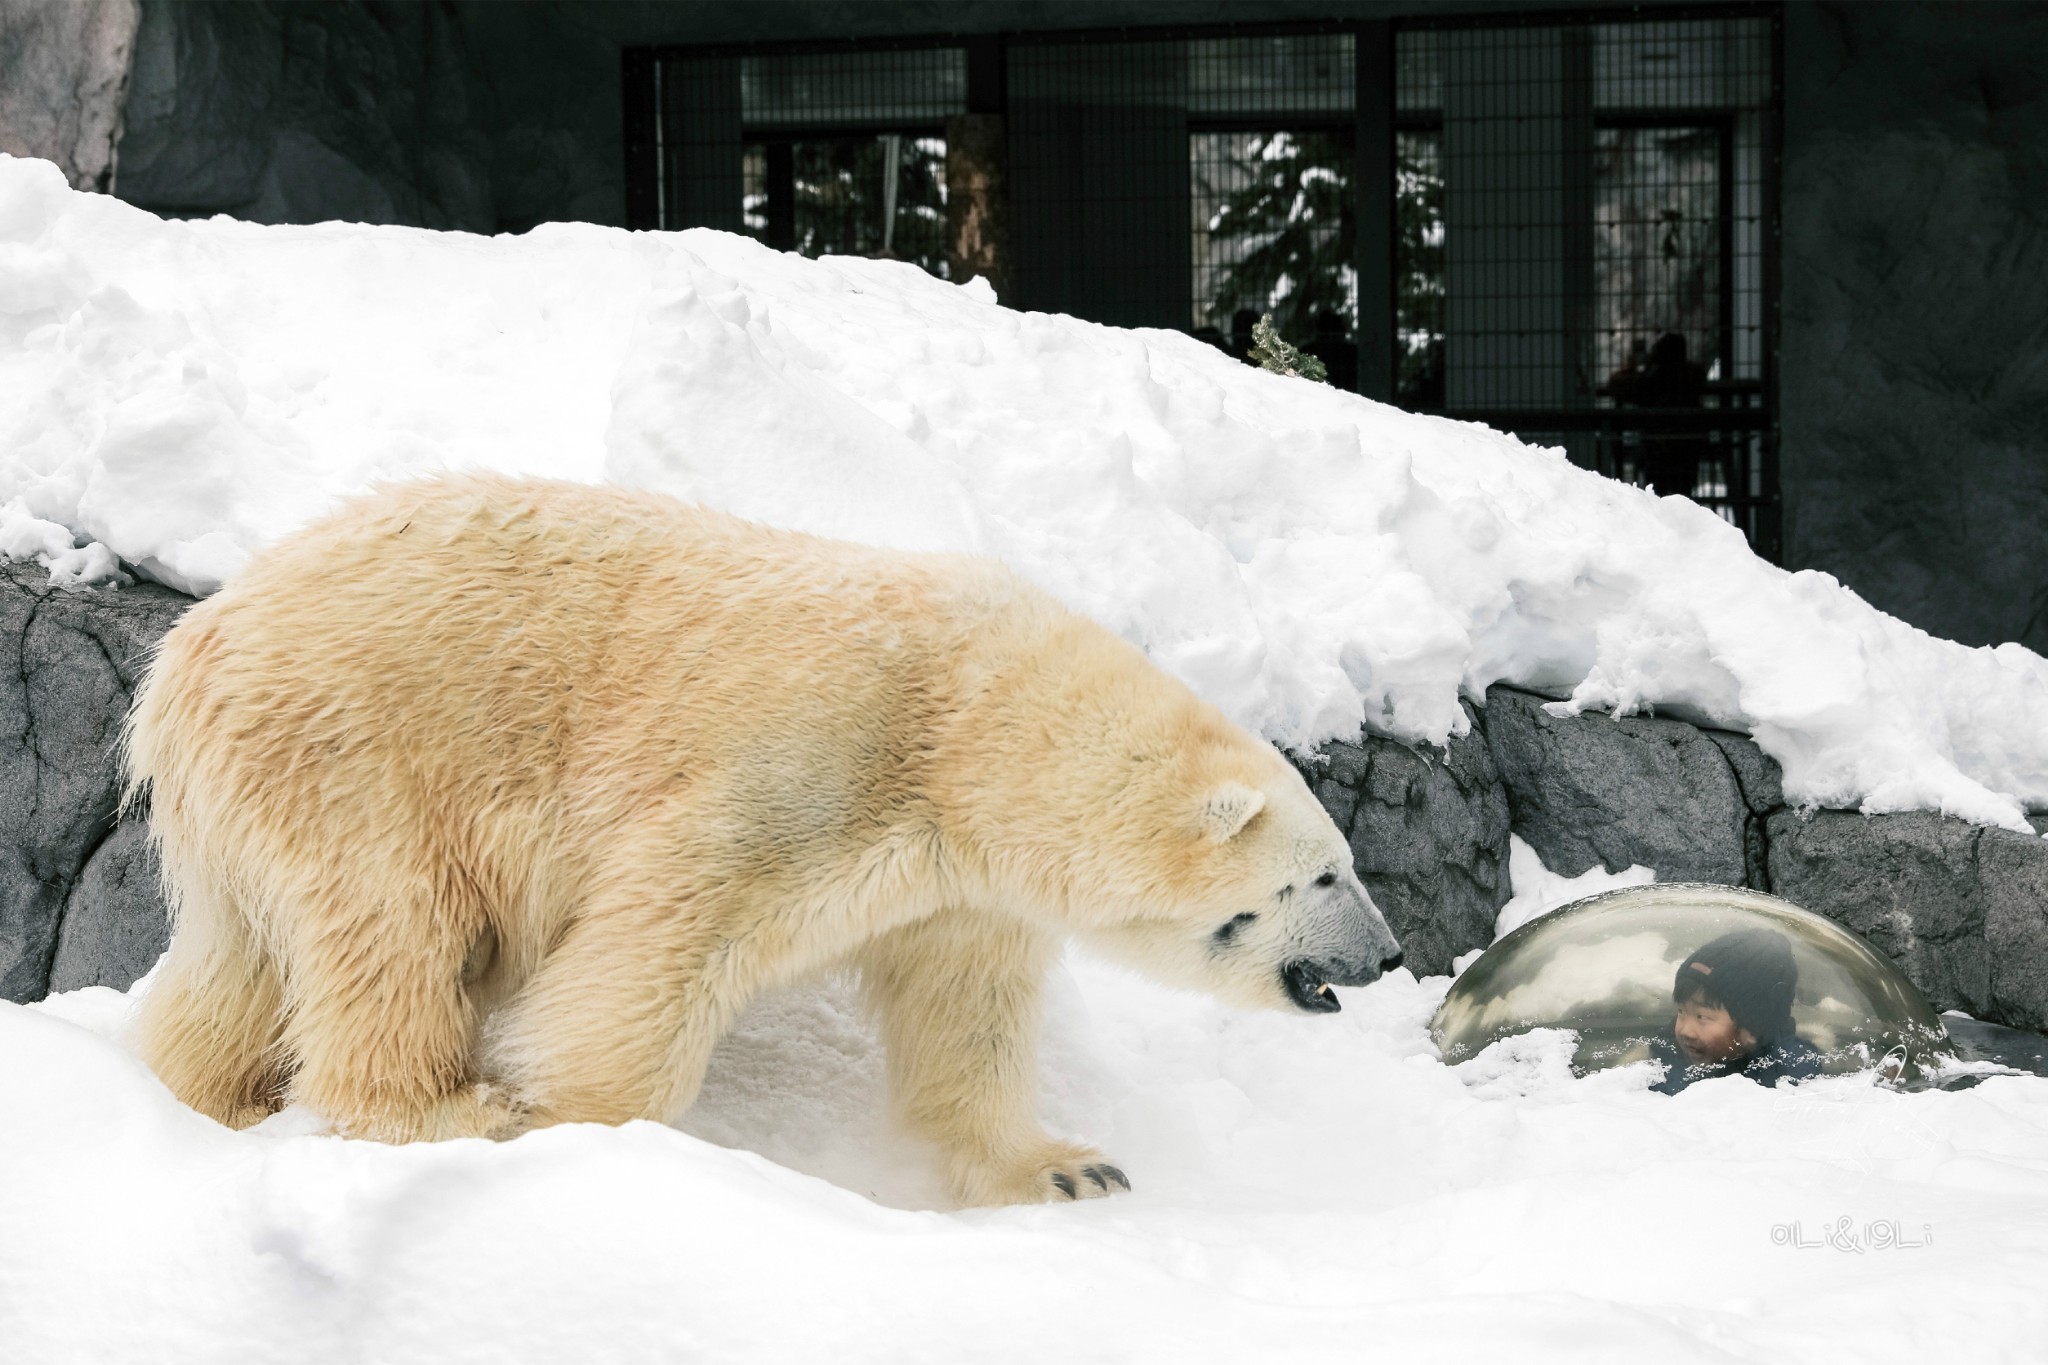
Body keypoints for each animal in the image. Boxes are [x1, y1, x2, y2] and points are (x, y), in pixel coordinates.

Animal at [132, 472, 1409, 1203]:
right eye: (1323, 874)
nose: (1388, 953)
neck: (966, 725)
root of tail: (191, 648)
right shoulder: (801, 769)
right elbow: (650, 953)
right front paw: (576, 1124)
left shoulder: (961, 892)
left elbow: (966, 1020)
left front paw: (1068, 1166)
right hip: (364, 749)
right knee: (394, 938)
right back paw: (440, 1109)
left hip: (257, 794)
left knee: (242, 963)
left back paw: (209, 1094)